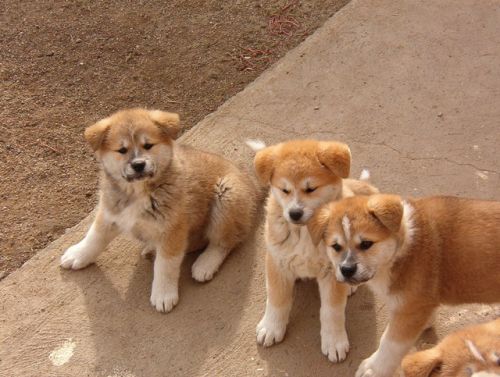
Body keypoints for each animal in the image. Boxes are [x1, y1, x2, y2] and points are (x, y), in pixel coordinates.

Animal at [60, 108, 258, 312]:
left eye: (148, 145)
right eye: (122, 150)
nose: (138, 164)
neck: (139, 192)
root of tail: (251, 182)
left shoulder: (172, 230)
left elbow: (165, 265)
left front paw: (163, 294)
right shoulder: (111, 212)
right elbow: (95, 236)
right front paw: (78, 254)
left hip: (227, 197)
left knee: (224, 242)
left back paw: (205, 264)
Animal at [250, 139, 378, 362]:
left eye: (311, 189)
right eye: (284, 190)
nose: (294, 213)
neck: (304, 234)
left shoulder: (331, 273)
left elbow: (332, 311)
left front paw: (334, 341)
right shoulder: (277, 262)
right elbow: (277, 299)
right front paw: (271, 327)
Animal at [308, 194, 500, 376]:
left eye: (366, 244)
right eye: (335, 246)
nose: (346, 269)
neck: (406, 243)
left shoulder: (409, 310)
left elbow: (390, 343)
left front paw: (373, 369)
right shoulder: (419, 305)